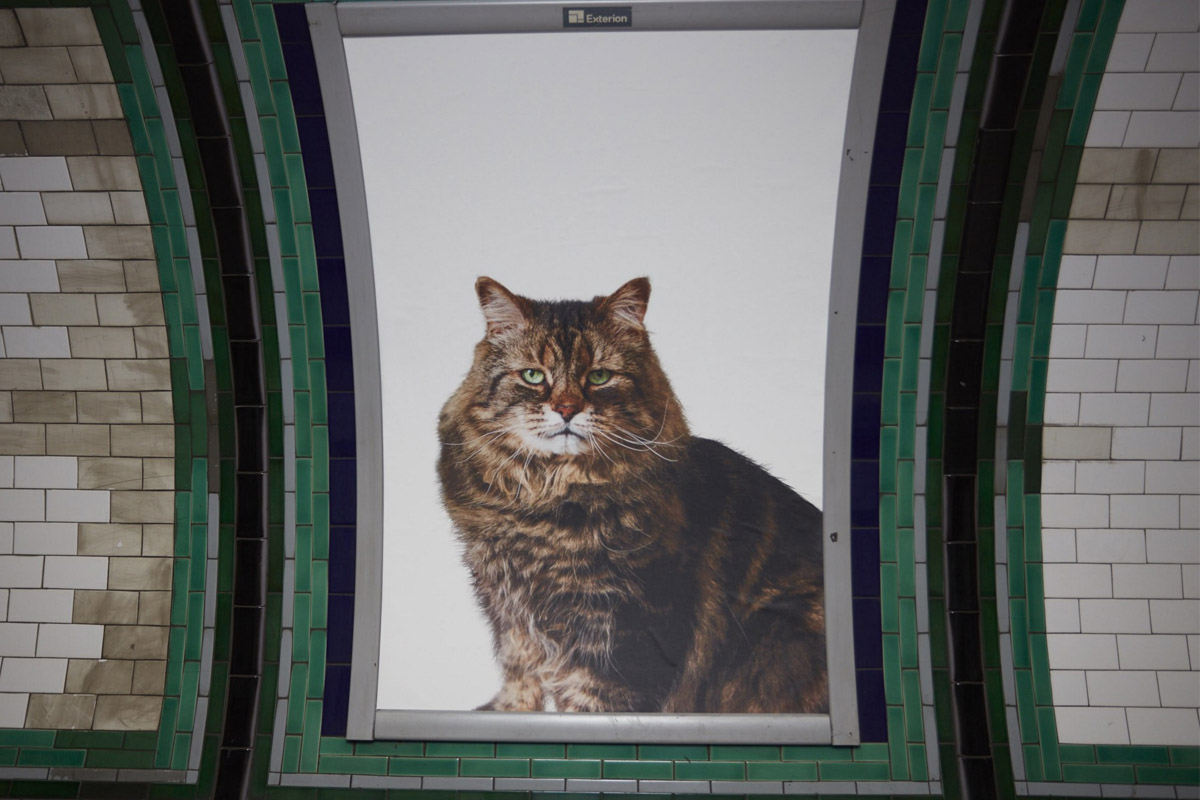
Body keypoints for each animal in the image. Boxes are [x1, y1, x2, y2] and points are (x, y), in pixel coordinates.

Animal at [439, 277, 825, 714]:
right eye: (534, 376)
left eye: (599, 376)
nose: (566, 409)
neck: (545, 506)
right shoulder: (508, 606)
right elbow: (518, 667)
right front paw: (509, 709)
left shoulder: (623, 628)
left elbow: (593, 699)